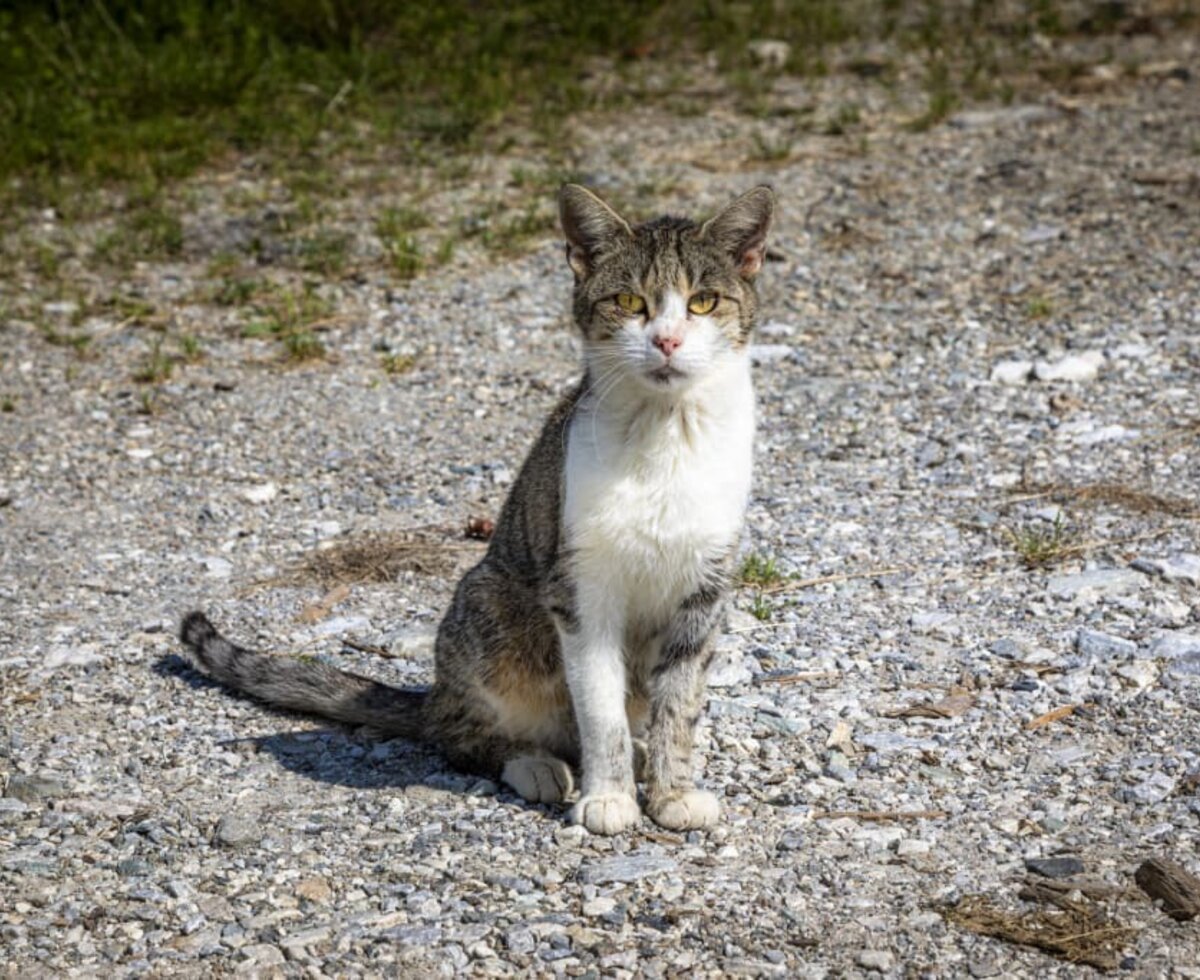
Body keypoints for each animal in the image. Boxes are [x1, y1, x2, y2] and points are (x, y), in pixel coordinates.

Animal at [180, 179, 777, 830]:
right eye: (628, 301)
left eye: (702, 303)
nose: (666, 340)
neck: (666, 433)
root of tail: (435, 691)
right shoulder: (580, 588)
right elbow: (599, 709)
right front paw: (609, 797)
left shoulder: (704, 589)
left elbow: (680, 702)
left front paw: (671, 790)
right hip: (489, 606)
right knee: (459, 732)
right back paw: (533, 763)